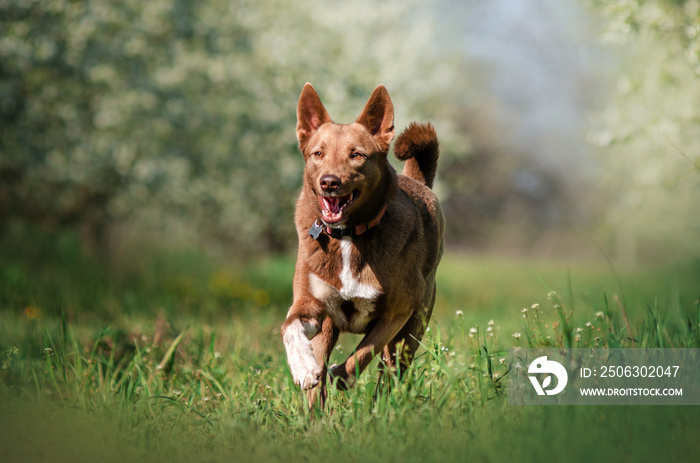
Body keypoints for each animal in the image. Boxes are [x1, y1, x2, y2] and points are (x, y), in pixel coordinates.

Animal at [278, 83, 442, 410]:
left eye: (356, 155)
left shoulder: (397, 312)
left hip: (412, 331)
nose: (329, 182)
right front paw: (303, 368)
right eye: (318, 153)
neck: (347, 235)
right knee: (321, 372)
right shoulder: (311, 303)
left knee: (390, 371)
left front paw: (341, 375)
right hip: (328, 328)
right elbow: (289, 327)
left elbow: (366, 350)